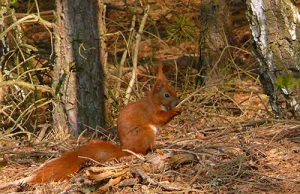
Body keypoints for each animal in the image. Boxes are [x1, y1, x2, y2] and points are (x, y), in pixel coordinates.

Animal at [0, 62, 180, 188]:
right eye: (167, 94)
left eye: (174, 91)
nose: (177, 101)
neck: (154, 101)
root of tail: (125, 147)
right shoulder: (151, 112)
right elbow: (159, 118)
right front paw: (176, 111)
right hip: (146, 133)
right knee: (140, 150)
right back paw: (151, 149)